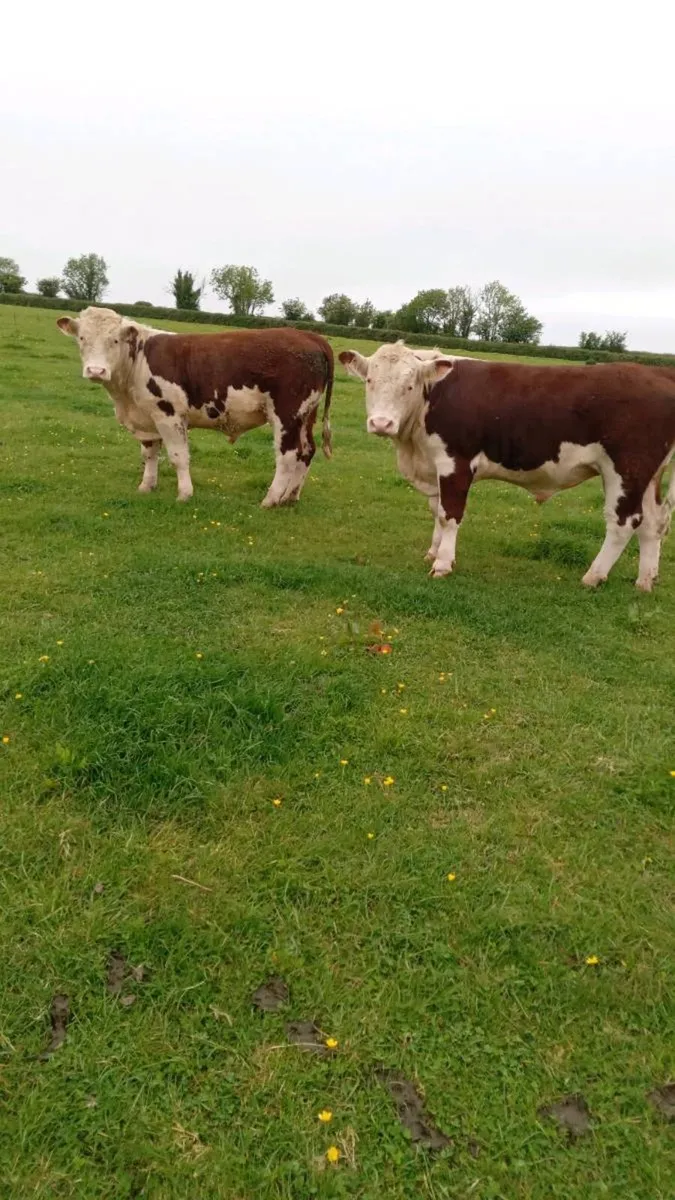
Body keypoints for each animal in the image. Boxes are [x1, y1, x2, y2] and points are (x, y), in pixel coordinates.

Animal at [57, 307, 333, 506]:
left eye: (114, 340)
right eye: (81, 338)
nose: (96, 371)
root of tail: (309, 335)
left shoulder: (169, 414)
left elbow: (178, 457)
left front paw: (184, 494)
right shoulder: (147, 418)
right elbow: (149, 454)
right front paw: (147, 486)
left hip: (287, 414)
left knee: (287, 455)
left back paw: (271, 499)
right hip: (306, 414)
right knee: (307, 451)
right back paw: (290, 496)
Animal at [339, 341, 675, 591]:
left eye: (409, 385)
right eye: (369, 381)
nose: (381, 423)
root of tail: (656, 373)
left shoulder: (455, 462)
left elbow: (450, 515)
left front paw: (443, 563)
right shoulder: (434, 465)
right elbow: (437, 511)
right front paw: (433, 551)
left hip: (626, 469)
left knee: (623, 522)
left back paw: (593, 576)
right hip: (645, 476)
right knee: (652, 522)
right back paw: (645, 581)